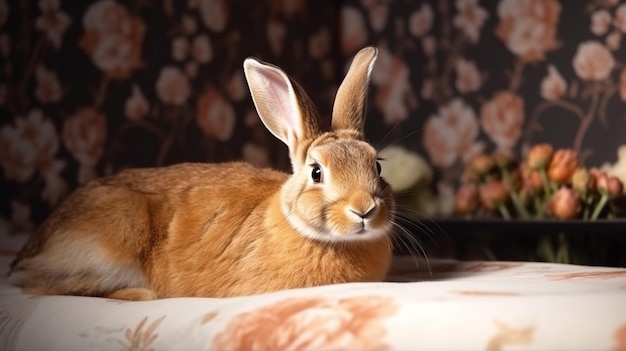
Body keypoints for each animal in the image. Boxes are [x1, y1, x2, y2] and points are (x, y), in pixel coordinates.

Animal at [7, 45, 392, 302]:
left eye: (377, 165)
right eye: (316, 173)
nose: (364, 210)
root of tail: (28, 251)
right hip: (112, 238)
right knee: (40, 285)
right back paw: (140, 295)